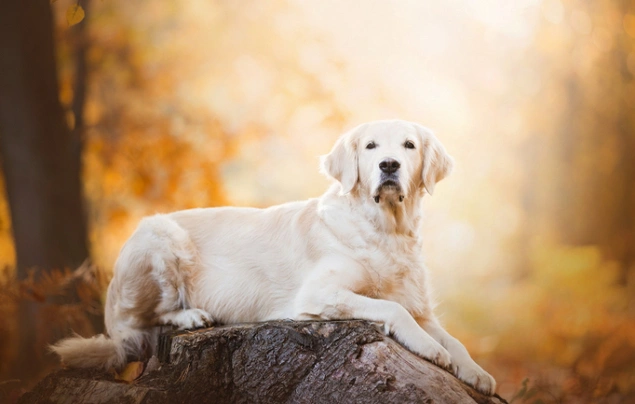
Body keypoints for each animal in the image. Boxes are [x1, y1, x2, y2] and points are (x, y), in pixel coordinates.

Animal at [53, 119, 496, 394]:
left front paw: (476, 372)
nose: (389, 165)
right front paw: (429, 349)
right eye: (371, 146)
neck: (384, 229)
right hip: (158, 236)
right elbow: (392, 309)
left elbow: (454, 338)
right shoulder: (319, 294)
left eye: (409, 145)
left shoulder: (422, 308)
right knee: (142, 321)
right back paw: (190, 315)